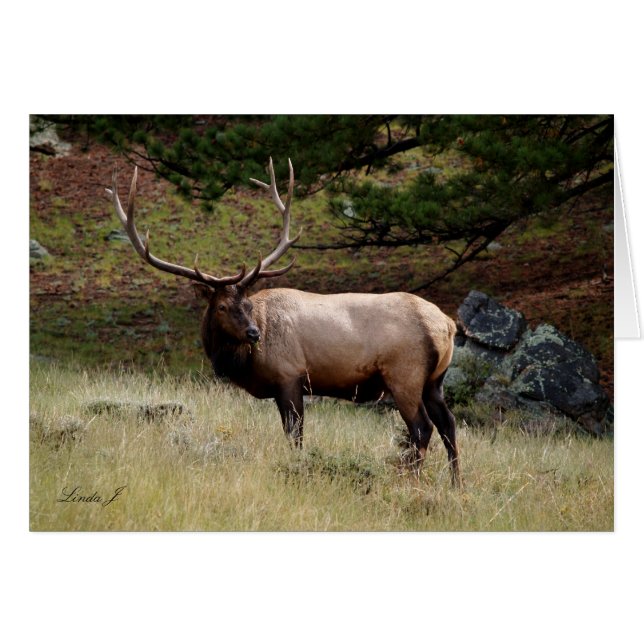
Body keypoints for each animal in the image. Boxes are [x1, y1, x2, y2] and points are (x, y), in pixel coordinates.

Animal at [106, 158, 460, 486]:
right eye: (222, 306)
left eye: (247, 303)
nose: (253, 333)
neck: (244, 363)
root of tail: (448, 325)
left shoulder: (289, 376)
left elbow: (296, 436)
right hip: (434, 380)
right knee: (449, 424)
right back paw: (456, 485)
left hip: (405, 374)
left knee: (422, 428)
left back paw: (411, 481)